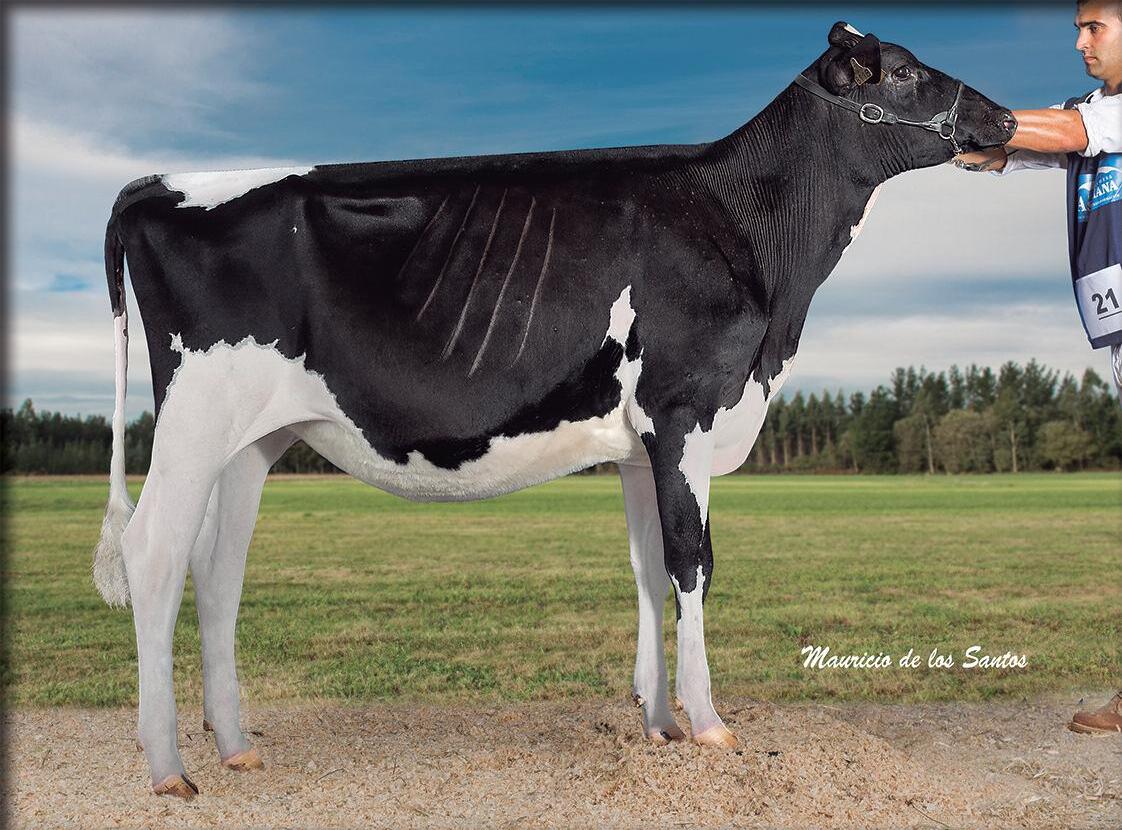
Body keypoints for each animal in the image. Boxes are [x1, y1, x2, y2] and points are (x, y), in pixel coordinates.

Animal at [94, 22, 1015, 799]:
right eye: (905, 72)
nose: (1005, 118)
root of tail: (158, 184)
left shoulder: (641, 444)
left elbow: (648, 568)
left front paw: (659, 727)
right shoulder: (684, 409)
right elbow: (693, 561)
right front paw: (710, 724)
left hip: (252, 437)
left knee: (216, 570)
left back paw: (236, 746)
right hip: (193, 416)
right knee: (154, 552)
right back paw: (169, 767)